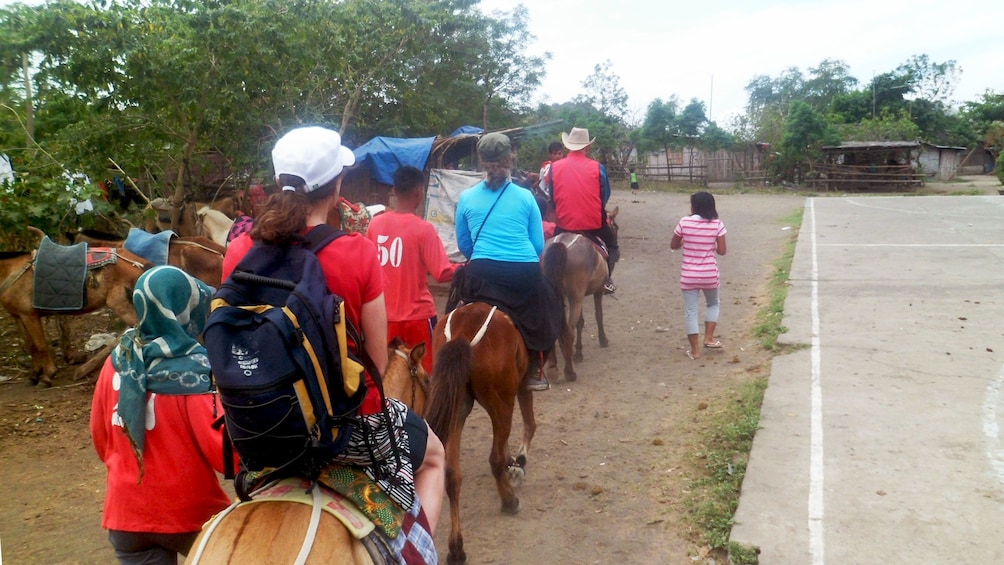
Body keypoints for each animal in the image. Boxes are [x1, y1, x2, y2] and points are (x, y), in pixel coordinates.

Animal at [0, 242, 150, 385]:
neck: (11, 271)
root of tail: (141, 263)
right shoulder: (20, 316)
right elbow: (31, 346)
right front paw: (34, 375)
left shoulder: (30, 315)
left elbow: (41, 345)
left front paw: (48, 375)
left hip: (119, 302)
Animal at [423, 303, 538, 565]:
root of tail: (463, 330)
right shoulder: (522, 384)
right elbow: (530, 424)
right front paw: (518, 463)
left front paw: (512, 463)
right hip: (501, 401)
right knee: (494, 457)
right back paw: (509, 501)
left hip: (457, 405)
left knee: (452, 474)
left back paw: (456, 549)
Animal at [546, 207, 614, 385]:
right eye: (614, 227)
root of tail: (561, 244)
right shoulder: (595, 291)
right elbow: (598, 315)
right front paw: (602, 340)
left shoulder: (580, 295)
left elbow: (581, 322)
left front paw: (578, 351)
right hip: (575, 297)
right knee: (569, 330)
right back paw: (569, 372)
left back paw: (553, 369)